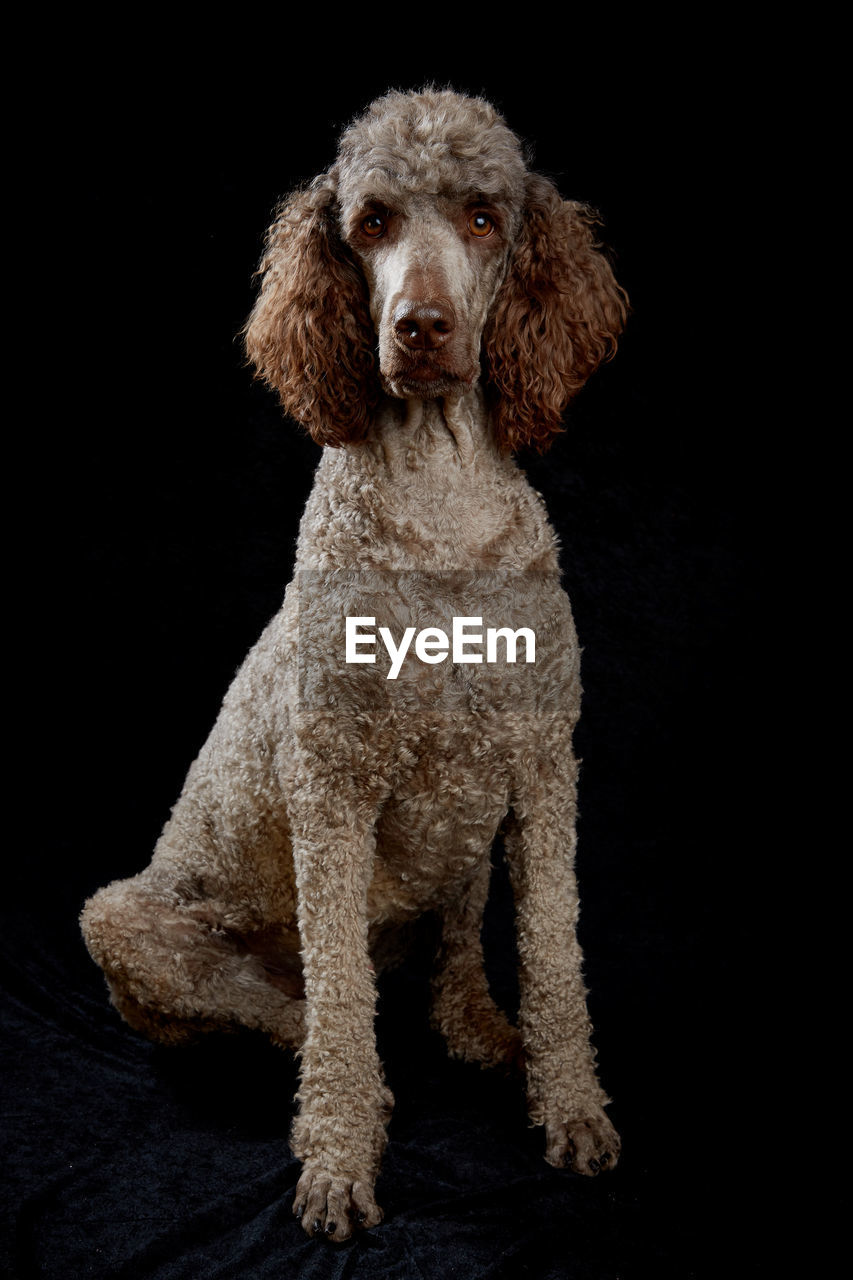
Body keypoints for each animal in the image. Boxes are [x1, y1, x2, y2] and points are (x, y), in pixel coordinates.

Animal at [81, 87, 625, 1239]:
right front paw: (336, 1154)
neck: (441, 506)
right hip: (129, 918)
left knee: (448, 959)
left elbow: (554, 955)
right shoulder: (329, 784)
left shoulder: (542, 766)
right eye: (371, 223)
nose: (421, 327)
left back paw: (480, 1031)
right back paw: (357, 1079)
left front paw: (570, 1104)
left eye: (481, 218)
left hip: (466, 830)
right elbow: (338, 1002)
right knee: (292, 1008)